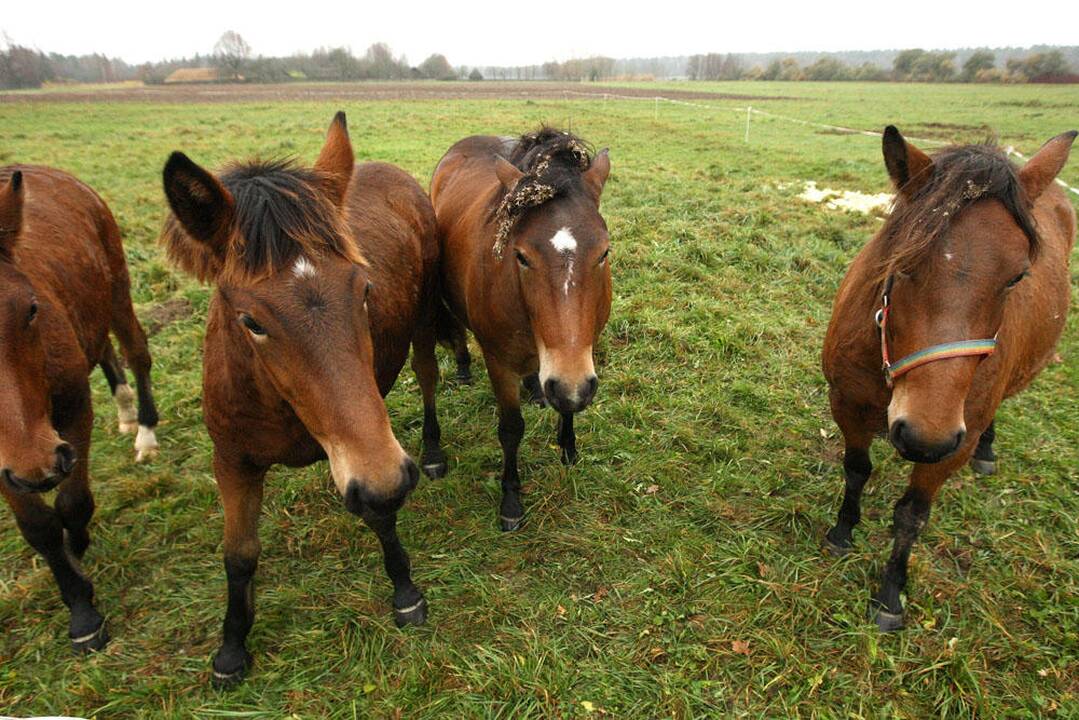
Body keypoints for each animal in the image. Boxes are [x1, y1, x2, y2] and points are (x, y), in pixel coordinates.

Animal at [0, 162, 158, 651]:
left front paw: (80, 561)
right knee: (103, 347)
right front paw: (76, 599)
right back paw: (125, 414)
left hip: (118, 287)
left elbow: (72, 503)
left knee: (135, 352)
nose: (38, 466)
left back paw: (145, 431)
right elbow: (38, 527)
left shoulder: (72, 413)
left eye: (31, 309)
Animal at [160, 112, 446, 686]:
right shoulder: (232, 460)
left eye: (364, 289)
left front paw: (405, 591)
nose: (388, 477)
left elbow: (380, 512)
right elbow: (238, 553)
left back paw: (431, 451)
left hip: (424, 321)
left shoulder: (369, 439)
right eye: (251, 321)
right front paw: (231, 647)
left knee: (427, 375)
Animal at [431, 126, 617, 528]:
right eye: (521, 256)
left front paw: (568, 449)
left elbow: (565, 401)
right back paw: (465, 369)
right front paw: (511, 500)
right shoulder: (499, 361)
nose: (569, 383)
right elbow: (511, 428)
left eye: (604, 253)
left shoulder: (578, 355)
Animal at [820, 127, 1074, 630]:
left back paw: (987, 453)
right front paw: (841, 534)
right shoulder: (847, 405)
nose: (925, 437)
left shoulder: (952, 444)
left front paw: (890, 596)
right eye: (902, 262)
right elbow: (856, 470)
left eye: (1017, 276)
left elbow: (912, 515)